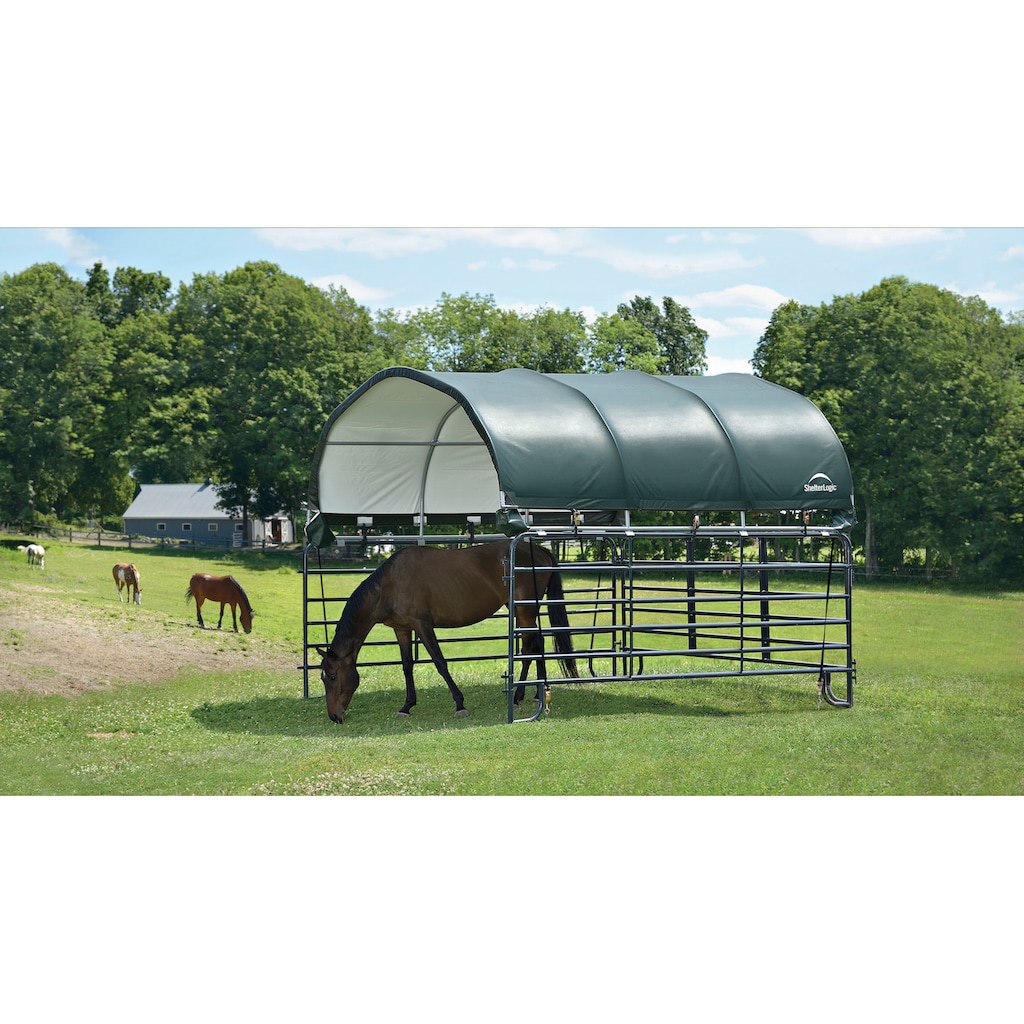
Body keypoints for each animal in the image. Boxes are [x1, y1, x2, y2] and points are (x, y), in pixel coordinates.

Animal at [315, 540, 581, 724]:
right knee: (538, 643)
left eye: (333, 676)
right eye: (323, 678)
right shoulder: (403, 629)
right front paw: (407, 706)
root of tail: (540, 550)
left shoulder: (423, 625)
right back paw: (537, 692)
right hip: (523, 611)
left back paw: (517, 696)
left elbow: (440, 663)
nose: (334, 716)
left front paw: (460, 704)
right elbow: (407, 666)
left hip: (524, 612)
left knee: (528, 647)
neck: (389, 584)